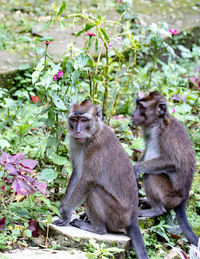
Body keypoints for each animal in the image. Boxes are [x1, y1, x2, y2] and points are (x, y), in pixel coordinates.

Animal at [53, 100, 148, 259]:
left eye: (84, 120)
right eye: (74, 119)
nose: (77, 131)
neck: (93, 133)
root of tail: (133, 218)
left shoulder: (95, 148)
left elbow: (87, 179)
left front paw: (66, 213)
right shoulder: (75, 143)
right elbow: (77, 173)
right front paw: (62, 207)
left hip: (117, 216)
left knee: (93, 190)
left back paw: (97, 228)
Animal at [131, 92, 198, 247]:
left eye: (141, 107)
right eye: (138, 105)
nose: (132, 114)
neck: (157, 124)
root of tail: (182, 200)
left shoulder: (167, 134)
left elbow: (172, 161)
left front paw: (136, 169)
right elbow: (145, 152)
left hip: (169, 196)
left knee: (151, 175)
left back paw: (156, 210)